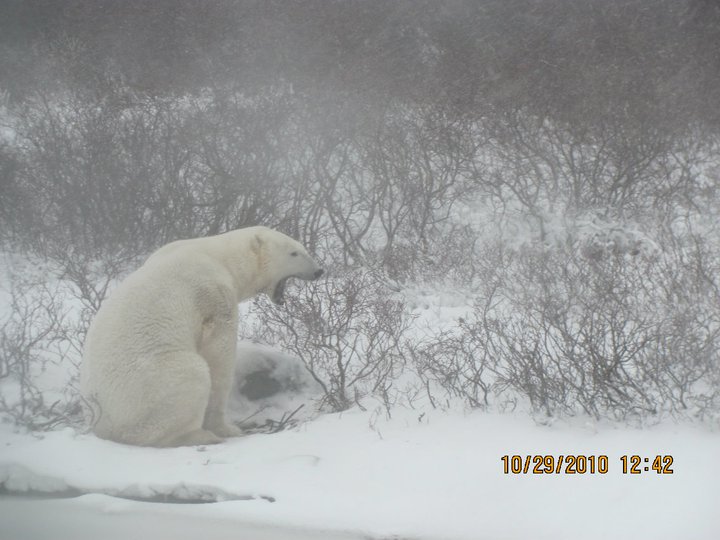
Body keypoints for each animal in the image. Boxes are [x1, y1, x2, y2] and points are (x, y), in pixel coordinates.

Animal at [79, 226, 324, 446]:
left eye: (303, 248)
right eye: (294, 253)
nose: (319, 271)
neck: (220, 257)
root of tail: (102, 424)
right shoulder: (211, 292)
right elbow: (219, 356)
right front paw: (227, 428)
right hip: (151, 383)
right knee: (190, 377)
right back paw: (201, 436)